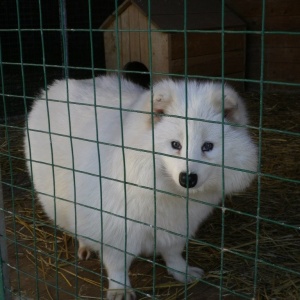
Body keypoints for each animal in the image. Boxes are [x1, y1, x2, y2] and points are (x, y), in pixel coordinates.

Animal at [24, 74, 256, 298]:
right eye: (175, 145)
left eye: (207, 146)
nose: (187, 178)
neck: (163, 190)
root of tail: (55, 87)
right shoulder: (115, 228)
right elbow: (117, 265)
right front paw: (119, 289)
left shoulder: (179, 224)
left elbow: (173, 252)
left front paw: (181, 271)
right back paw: (85, 246)